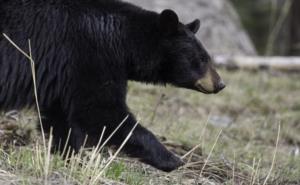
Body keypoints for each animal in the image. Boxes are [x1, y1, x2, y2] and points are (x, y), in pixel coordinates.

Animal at [0, 0, 225, 172]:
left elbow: (60, 118)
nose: (220, 83)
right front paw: (172, 159)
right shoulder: (89, 56)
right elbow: (102, 112)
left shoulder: (63, 76)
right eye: (202, 59)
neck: (123, 41)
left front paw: (71, 156)